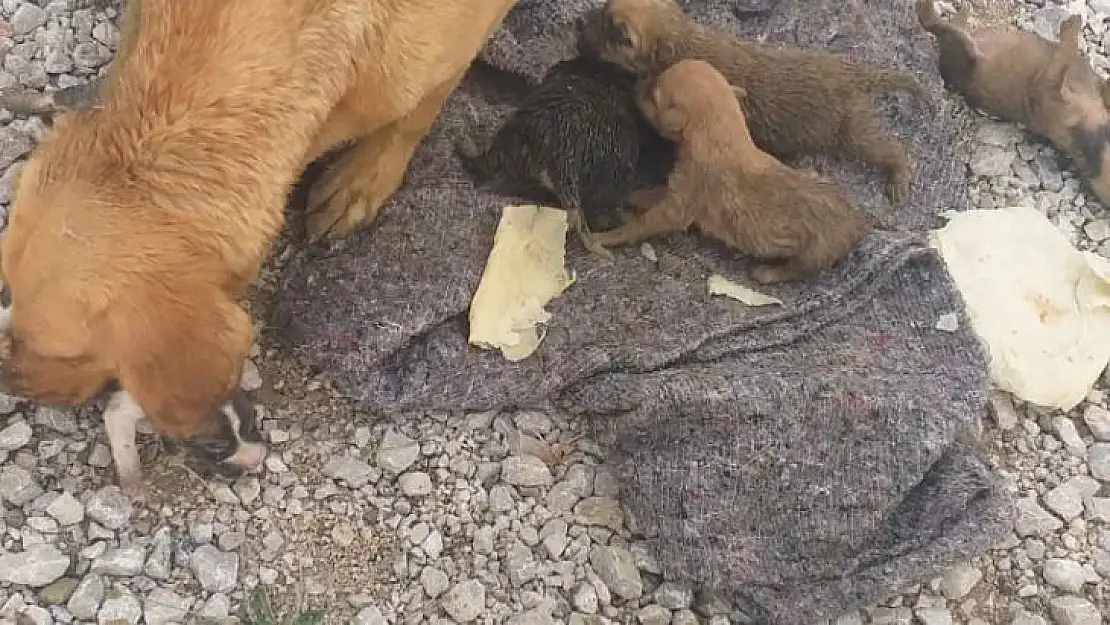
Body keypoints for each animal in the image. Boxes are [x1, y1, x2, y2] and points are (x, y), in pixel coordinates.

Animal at [577, 0, 932, 204]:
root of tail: (854, 75)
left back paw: (899, 176)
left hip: (852, 131)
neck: (683, 40)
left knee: (890, 149)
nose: (578, 27)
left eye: (618, 34)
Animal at [594, 58, 870, 284]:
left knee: (796, 269)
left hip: (816, 251)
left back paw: (766, 273)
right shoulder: (679, 185)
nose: (639, 77)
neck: (720, 133)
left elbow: (650, 221)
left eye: (653, 95)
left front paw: (608, 236)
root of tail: (858, 222)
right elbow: (650, 194)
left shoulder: (684, 198)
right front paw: (628, 197)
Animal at [914, 0, 1110, 209]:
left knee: (935, 24)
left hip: (963, 53)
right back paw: (962, 14)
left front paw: (1070, 28)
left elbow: (1063, 59)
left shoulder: (1048, 89)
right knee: (947, 25)